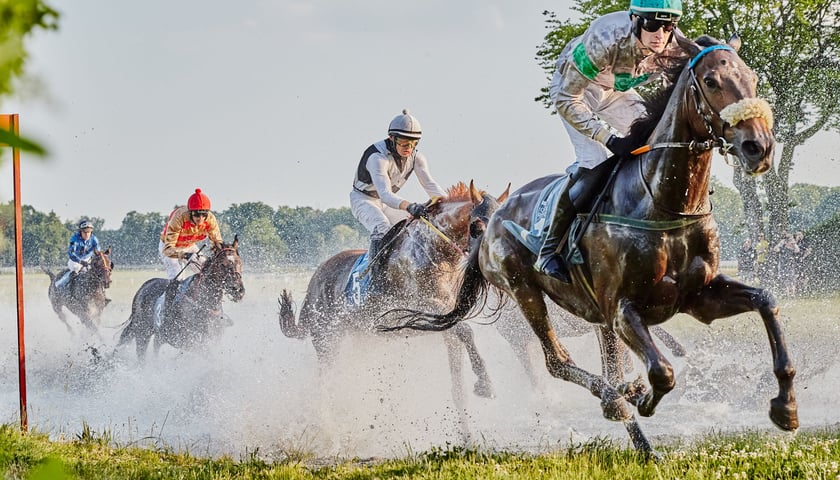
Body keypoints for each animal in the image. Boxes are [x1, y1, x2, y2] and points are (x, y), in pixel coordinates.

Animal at [117, 238, 246, 362]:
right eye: (222, 264)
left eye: (240, 262)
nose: (238, 290)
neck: (204, 302)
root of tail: (144, 286)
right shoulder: (190, 341)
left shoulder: (212, 340)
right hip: (142, 332)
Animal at [278, 181, 508, 442]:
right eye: (477, 226)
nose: (498, 261)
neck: (433, 251)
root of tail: (314, 281)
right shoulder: (423, 308)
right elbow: (466, 330)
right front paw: (485, 383)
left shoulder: (447, 326)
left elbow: (458, 386)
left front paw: (468, 437)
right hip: (327, 341)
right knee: (324, 386)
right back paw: (329, 432)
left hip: (361, 339)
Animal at [378, 34, 796, 454]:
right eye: (710, 81)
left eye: (752, 78)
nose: (759, 146)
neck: (663, 203)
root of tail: (491, 226)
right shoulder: (621, 308)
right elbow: (661, 372)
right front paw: (640, 397)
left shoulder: (699, 296)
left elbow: (766, 300)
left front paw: (785, 406)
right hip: (524, 291)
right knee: (557, 361)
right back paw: (615, 400)